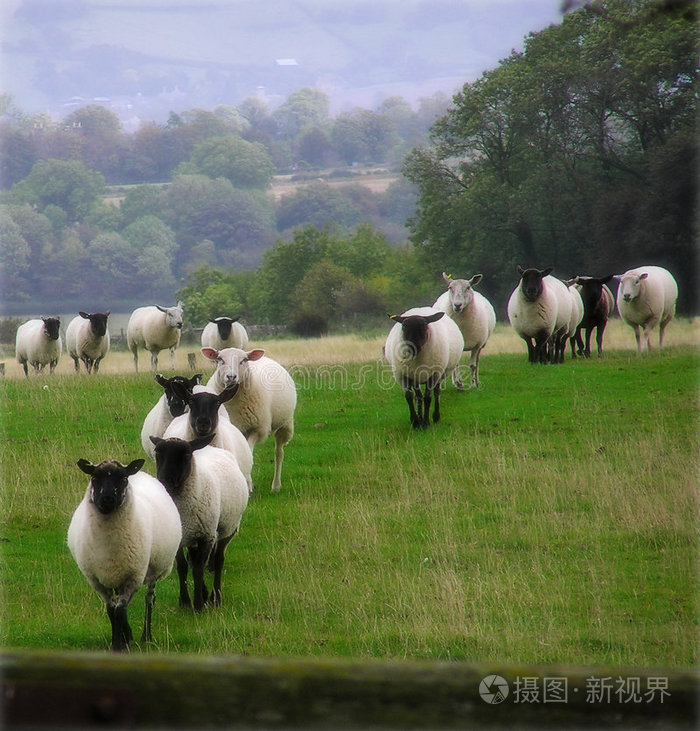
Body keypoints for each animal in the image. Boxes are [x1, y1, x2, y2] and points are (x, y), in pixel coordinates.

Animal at [67, 458, 182, 652]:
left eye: (123, 478)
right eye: (94, 477)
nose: (107, 498)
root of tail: (141, 473)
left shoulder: (133, 576)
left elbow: (120, 611)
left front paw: (119, 646)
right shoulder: (97, 580)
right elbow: (111, 610)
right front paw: (119, 641)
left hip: (152, 570)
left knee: (149, 599)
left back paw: (146, 636)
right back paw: (128, 635)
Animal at [150, 434, 249, 612]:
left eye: (186, 455)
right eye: (158, 453)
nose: (164, 481)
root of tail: (213, 448)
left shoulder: (206, 536)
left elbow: (197, 569)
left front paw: (198, 605)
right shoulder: (181, 538)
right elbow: (183, 567)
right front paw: (185, 601)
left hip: (226, 528)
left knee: (218, 560)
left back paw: (215, 597)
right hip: (193, 534)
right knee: (194, 559)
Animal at [200, 348, 296, 494]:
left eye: (243, 360)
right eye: (220, 359)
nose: (231, 377)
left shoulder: (257, 429)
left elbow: (248, 453)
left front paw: (249, 485)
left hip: (285, 424)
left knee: (279, 453)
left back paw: (275, 486)